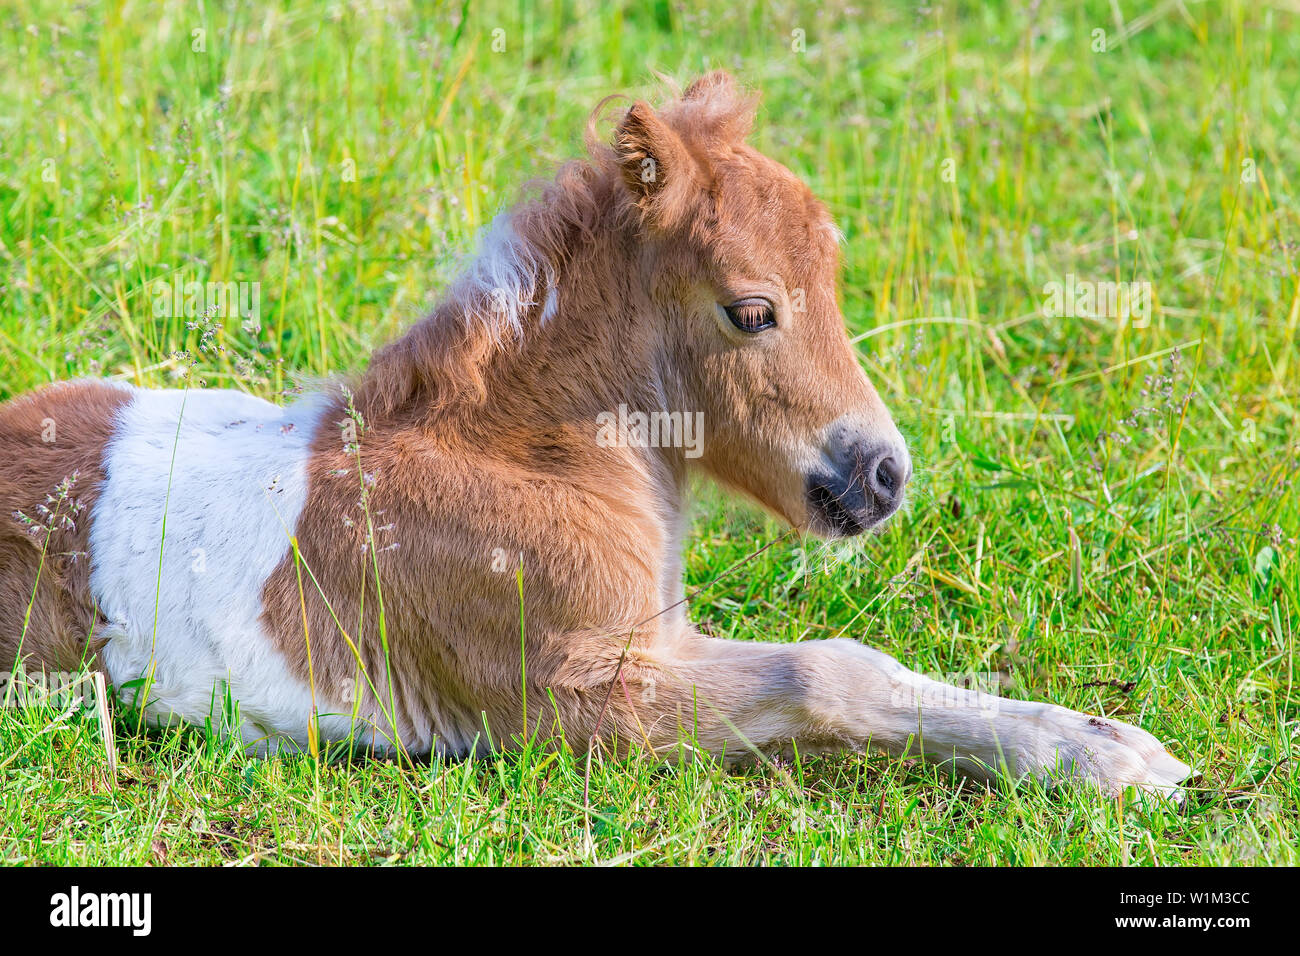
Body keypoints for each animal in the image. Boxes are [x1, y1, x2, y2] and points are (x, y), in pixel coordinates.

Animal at [0, 72, 1190, 801]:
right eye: (751, 309)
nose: (881, 475)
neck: (519, 458)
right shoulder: (578, 700)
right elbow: (830, 673)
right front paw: (1111, 762)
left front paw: (1102, 740)